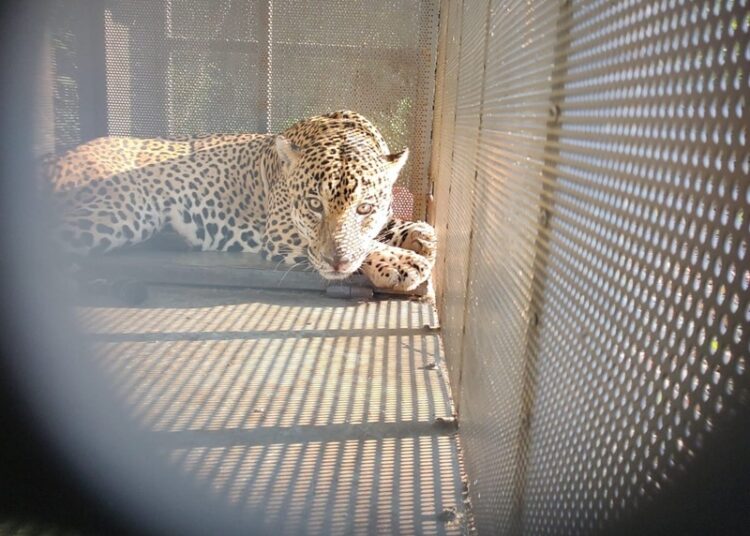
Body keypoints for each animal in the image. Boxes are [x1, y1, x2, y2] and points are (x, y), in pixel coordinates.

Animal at [48, 111, 436, 291]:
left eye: (364, 208)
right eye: (314, 204)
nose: (336, 263)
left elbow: (389, 226)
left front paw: (420, 235)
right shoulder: (280, 234)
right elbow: (360, 246)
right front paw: (402, 262)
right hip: (124, 209)